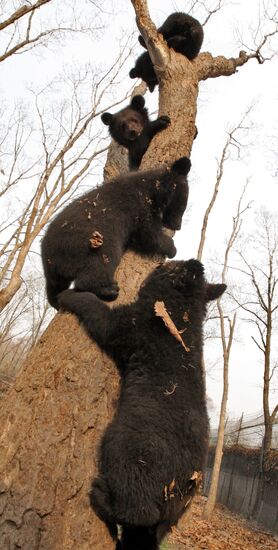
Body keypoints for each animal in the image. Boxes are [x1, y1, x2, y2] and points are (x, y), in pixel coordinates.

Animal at [40, 156, 191, 310]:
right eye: (182, 206)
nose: (177, 226)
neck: (152, 190)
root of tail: (51, 258)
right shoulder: (137, 208)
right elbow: (147, 236)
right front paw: (172, 248)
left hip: (54, 272)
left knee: (54, 289)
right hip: (88, 243)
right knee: (100, 265)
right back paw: (108, 290)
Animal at [58, 260, 226, 548]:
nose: (161, 261)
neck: (179, 314)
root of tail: (179, 486)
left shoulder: (133, 325)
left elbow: (100, 315)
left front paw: (68, 295)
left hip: (130, 449)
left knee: (136, 509)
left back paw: (100, 496)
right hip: (172, 513)